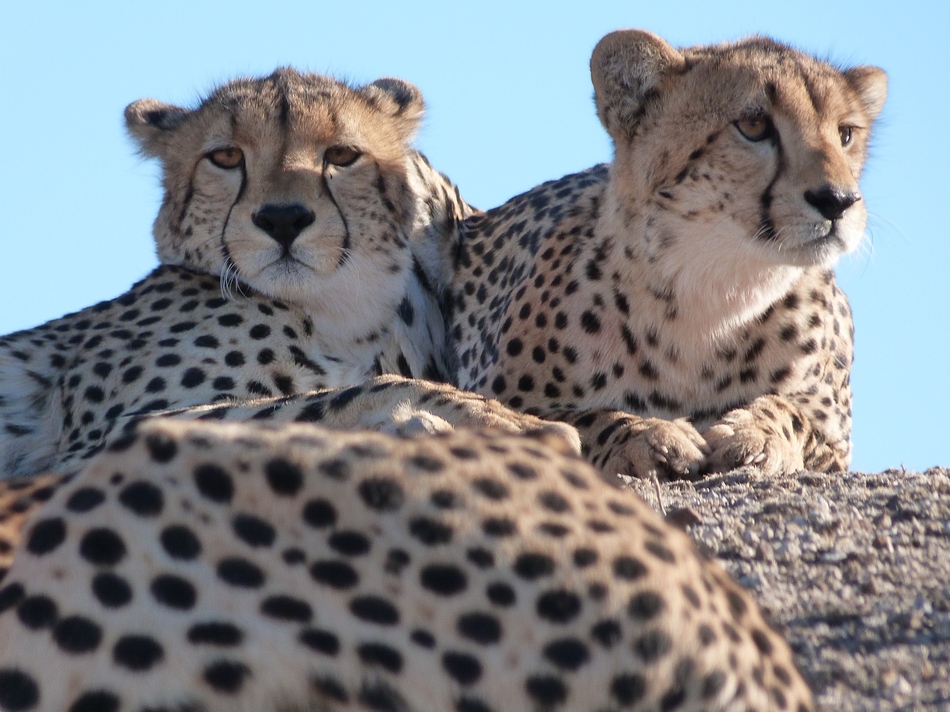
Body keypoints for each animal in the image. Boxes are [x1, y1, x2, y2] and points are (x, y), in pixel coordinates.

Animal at [0, 68, 479, 478]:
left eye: (342, 155)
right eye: (227, 156)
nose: (283, 219)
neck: (338, 321)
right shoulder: (100, 444)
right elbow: (339, 396)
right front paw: (475, 414)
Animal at [449, 29, 887, 480]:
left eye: (846, 133)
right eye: (754, 125)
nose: (838, 201)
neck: (715, 294)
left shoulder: (836, 442)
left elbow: (793, 414)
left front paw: (755, 433)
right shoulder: (511, 398)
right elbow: (578, 417)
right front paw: (646, 433)